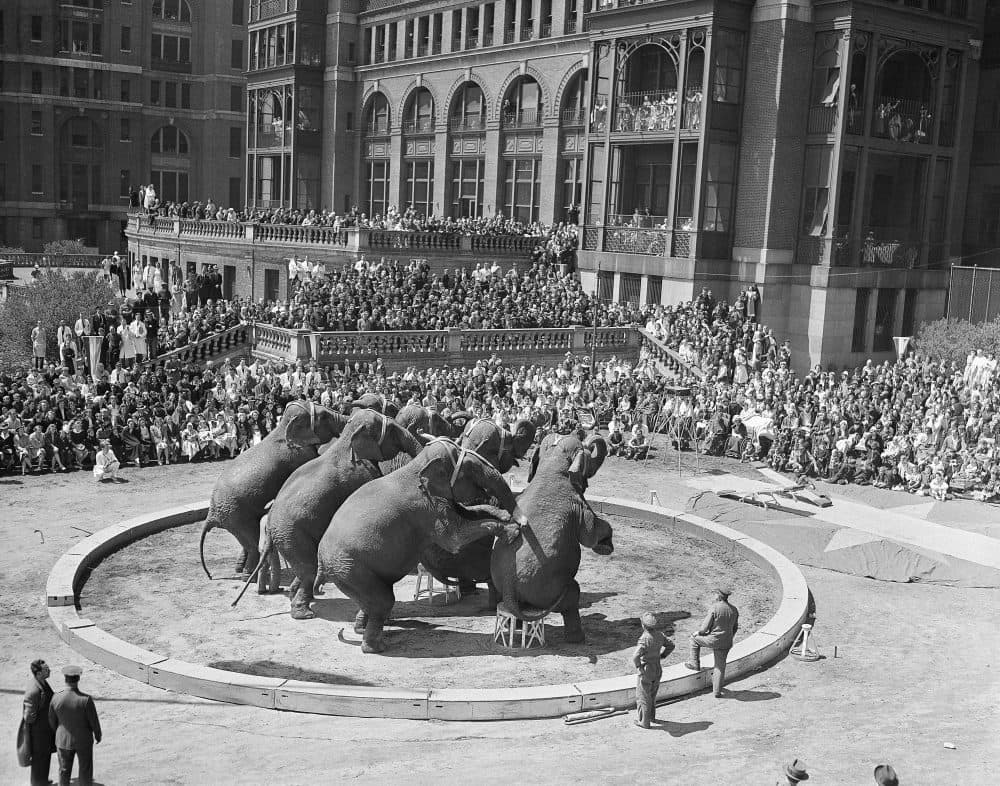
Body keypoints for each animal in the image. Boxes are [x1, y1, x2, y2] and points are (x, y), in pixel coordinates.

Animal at [199, 402, 348, 580]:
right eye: (324, 416)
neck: (282, 427)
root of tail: (211, 514)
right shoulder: (298, 454)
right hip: (235, 515)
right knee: (250, 539)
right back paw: (248, 576)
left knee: (246, 541)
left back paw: (241, 570)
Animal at [239, 408, 426, 616]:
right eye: (392, 429)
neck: (346, 441)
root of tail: (270, 521)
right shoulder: (363, 472)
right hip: (291, 534)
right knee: (308, 568)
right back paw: (304, 613)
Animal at [316, 438, 528, 652]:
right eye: (470, 467)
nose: (522, 521)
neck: (419, 464)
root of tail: (321, 562)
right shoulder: (426, 508)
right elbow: (455, 538)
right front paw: (512, 530)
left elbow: (468, 513)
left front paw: (503, 516)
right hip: (350, 569)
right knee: (383, 601)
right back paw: (376, 647)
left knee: (371, 601)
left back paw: (361, 630)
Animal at [490, 432, 612, 640]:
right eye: (587, 455)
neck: (552, 463)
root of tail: (508, 587)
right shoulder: (577, 505)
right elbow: (590, 533)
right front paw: (606, 546)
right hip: (549, 590)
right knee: (572, 597)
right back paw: (577, 638)